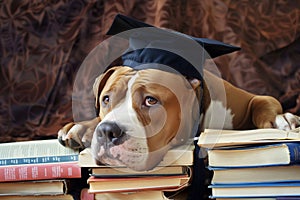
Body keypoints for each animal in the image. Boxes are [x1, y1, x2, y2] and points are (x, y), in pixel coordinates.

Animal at [58, 65, 300, 170]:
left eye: (150, 100)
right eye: (106, 99)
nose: (108, 131)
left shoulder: (249, 98)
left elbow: (264, 102)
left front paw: (280, 120)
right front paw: (81, 128)